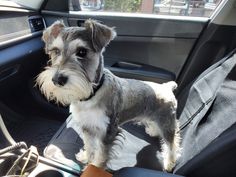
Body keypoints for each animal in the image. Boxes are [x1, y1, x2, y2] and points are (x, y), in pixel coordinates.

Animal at [36, 19, 181, 171]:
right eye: (55, 51)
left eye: (82, 51)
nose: (57, 79)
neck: (90, 96)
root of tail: (167, 86)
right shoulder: (86, 127)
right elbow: (89, 145)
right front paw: (86, 157)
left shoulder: (108, 133)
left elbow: (101, 155)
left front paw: (94, 167)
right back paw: (153, 131)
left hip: (167, 122)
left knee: (172, 144)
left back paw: (169, 163)